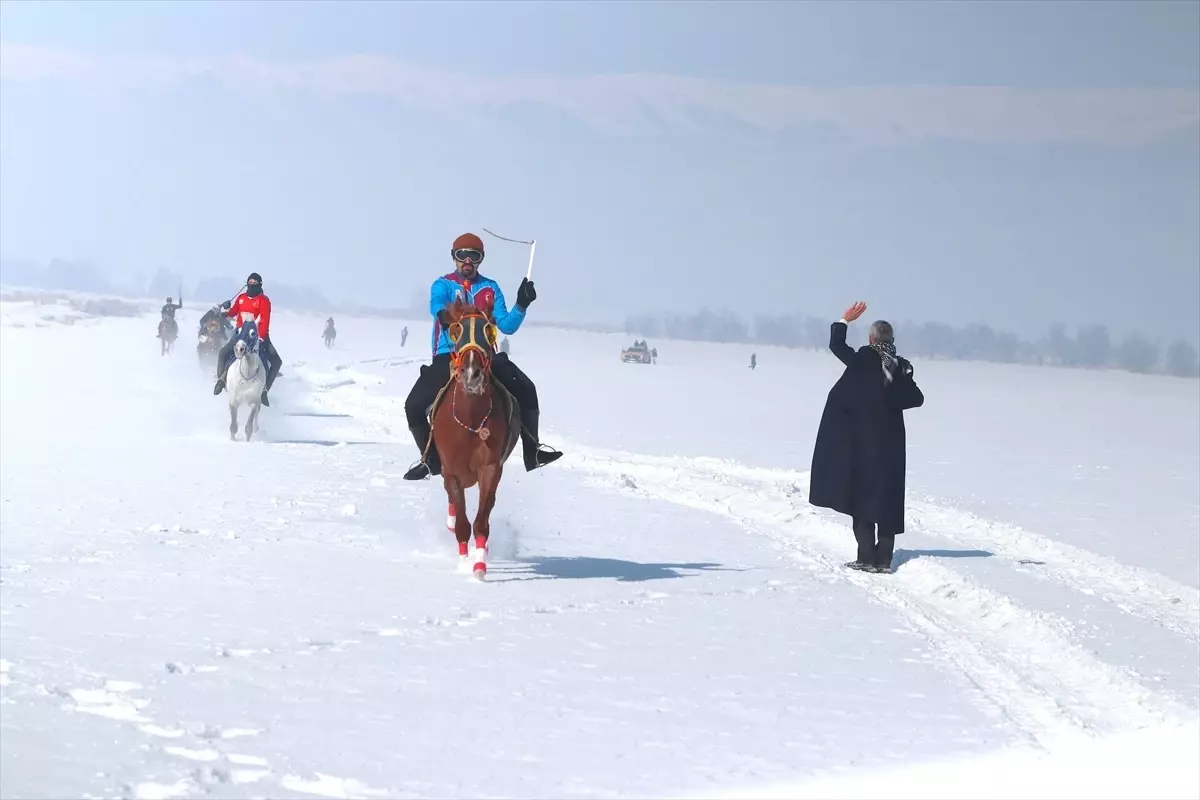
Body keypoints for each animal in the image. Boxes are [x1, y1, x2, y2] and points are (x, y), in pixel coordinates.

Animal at [424, 297, 518, 578]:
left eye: (490, 330)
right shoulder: (451, 470)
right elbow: (463, 521)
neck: (471, 423)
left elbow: (481, 521)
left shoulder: (490, 468)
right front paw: (464, 561)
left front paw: (478, 565)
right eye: (457, 330)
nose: (471, 374)